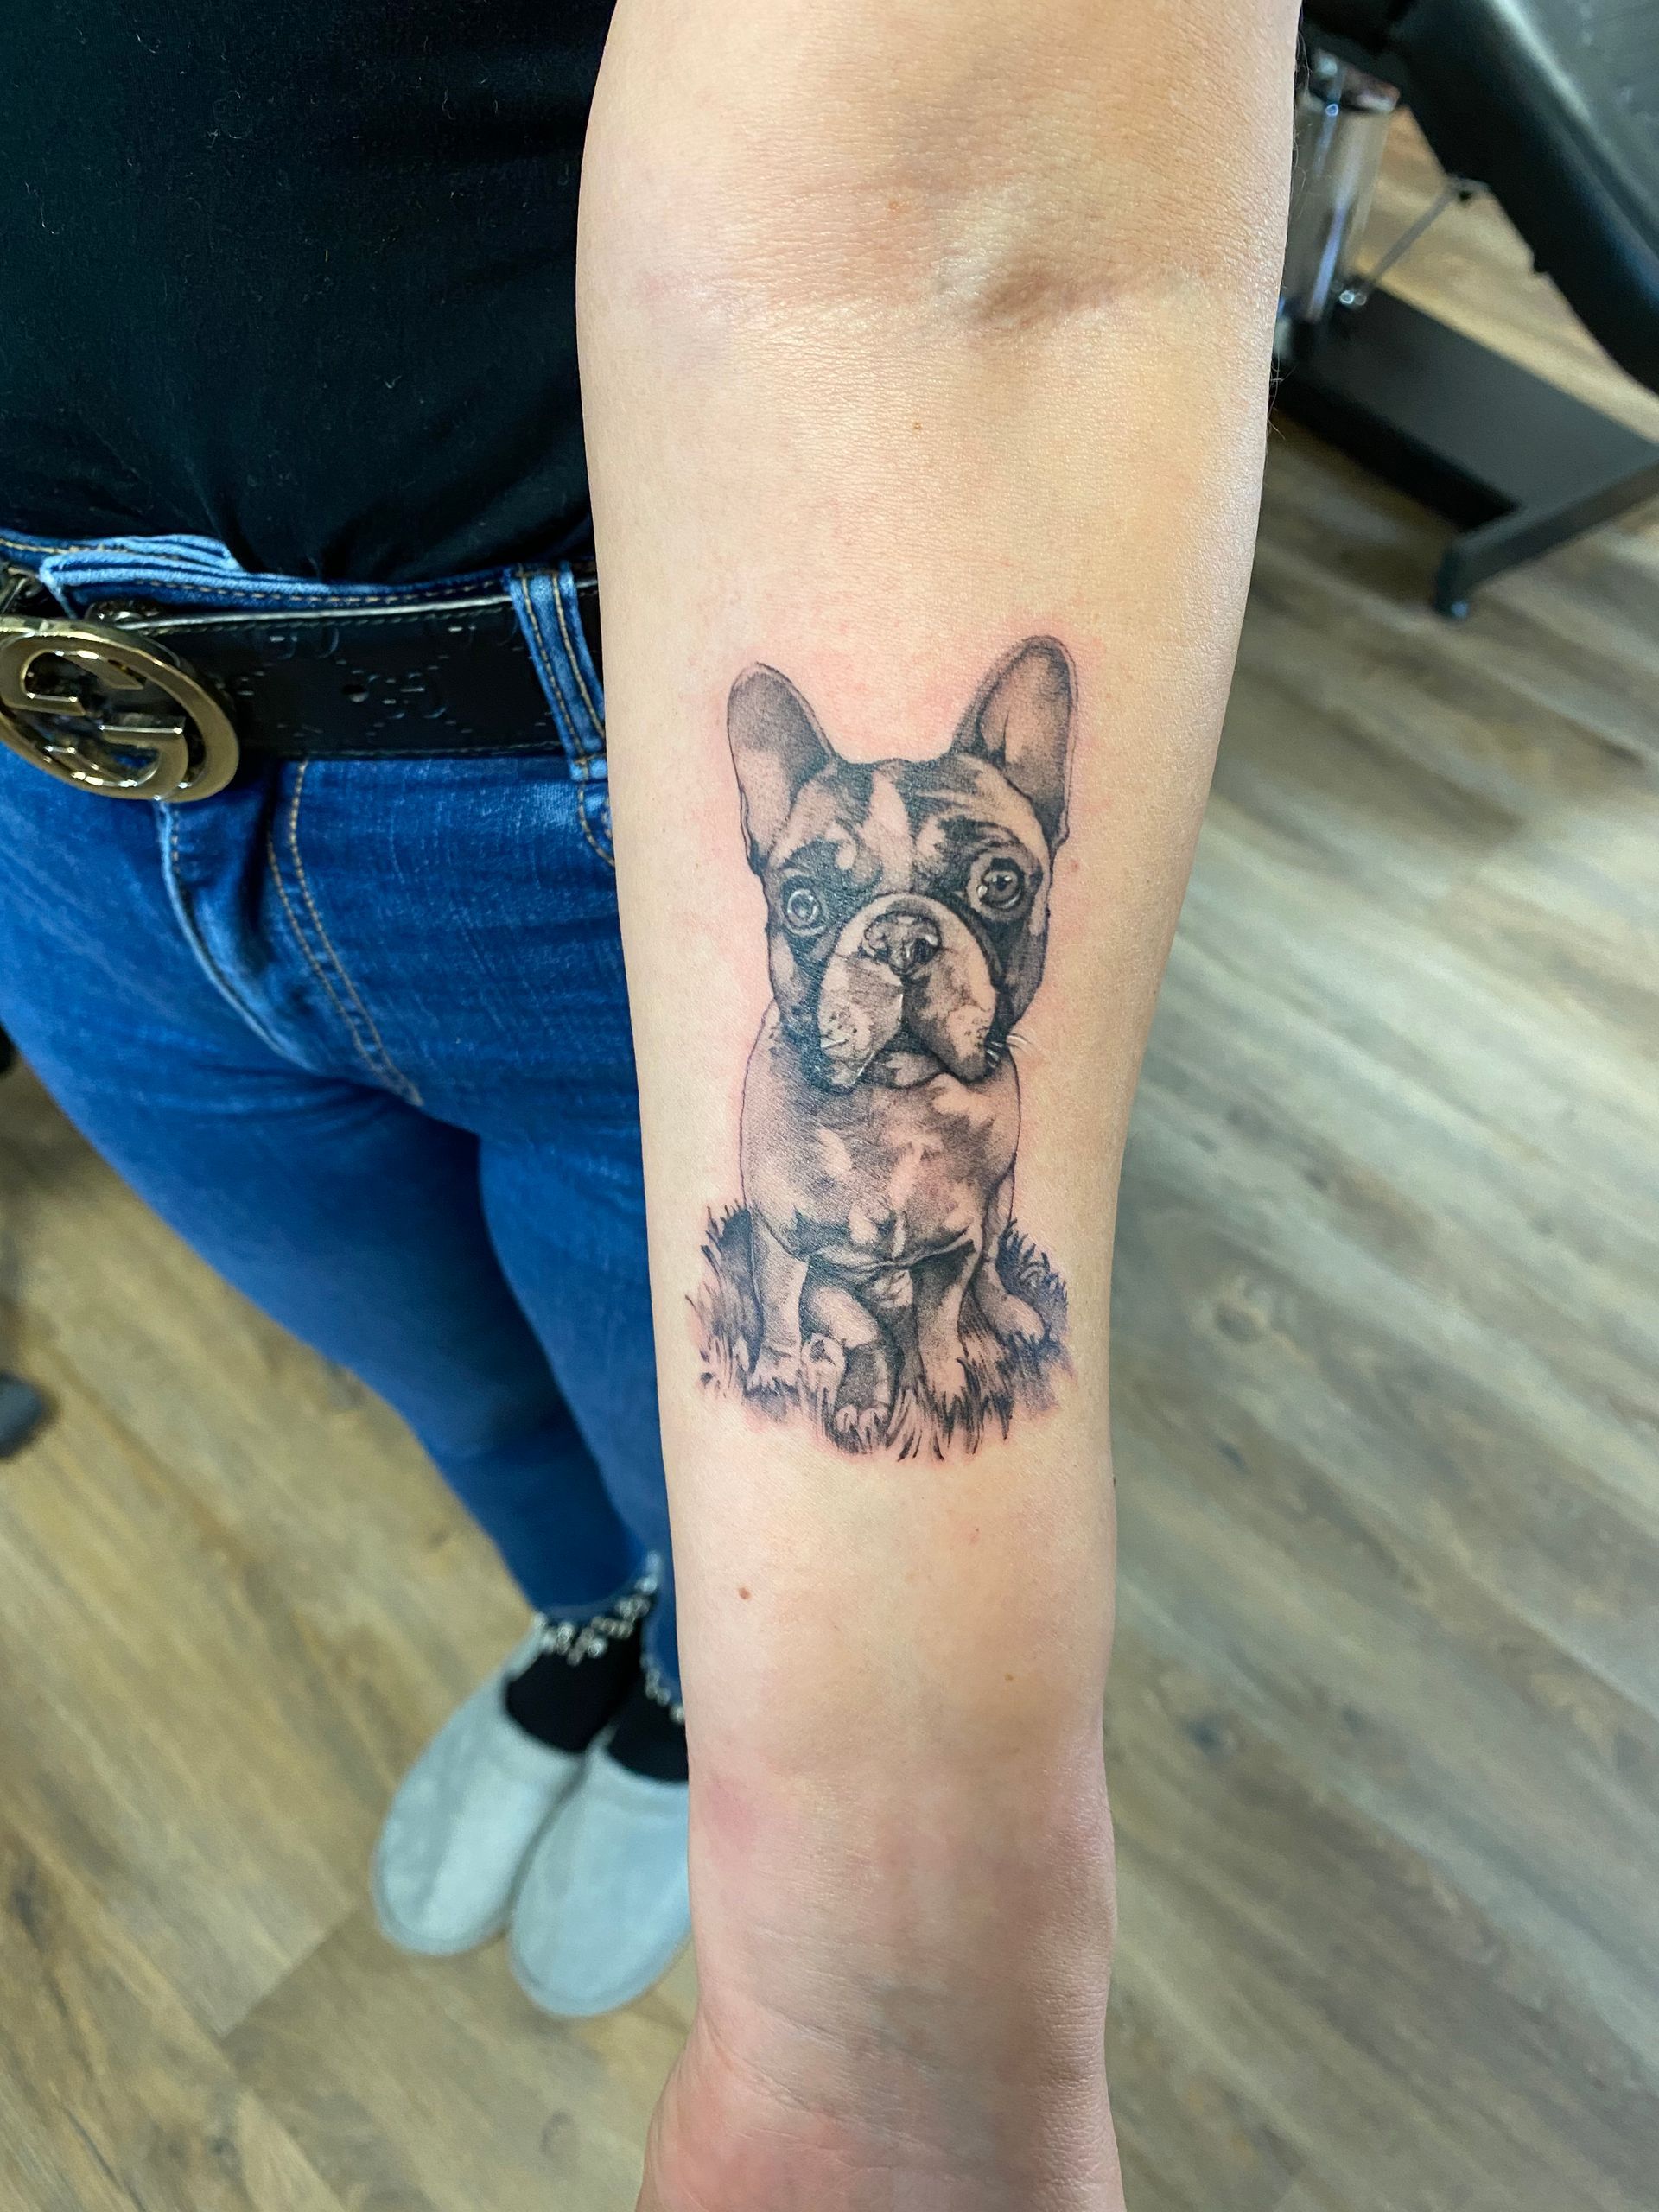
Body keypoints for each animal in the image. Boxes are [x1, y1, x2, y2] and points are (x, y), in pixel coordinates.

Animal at [728, 635, 1074, 1444]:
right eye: (802, 902)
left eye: (1000, 884)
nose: (901, 937)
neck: (890, 1112)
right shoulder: (781, 1245)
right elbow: (783, 1318)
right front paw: (774, 1378)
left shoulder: (955, 1248)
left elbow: (941, 1323)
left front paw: (947, 1386)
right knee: (860, 1330)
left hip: (1002, 1203)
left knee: (984, 1276)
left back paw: (1005, 1319)